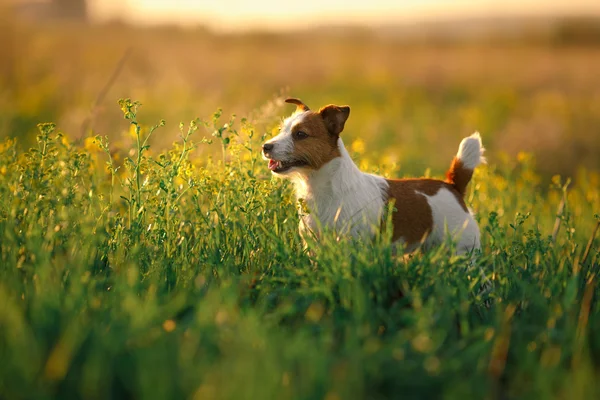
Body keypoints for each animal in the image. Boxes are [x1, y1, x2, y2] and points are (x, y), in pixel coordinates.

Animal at [260, 97, 486, 253]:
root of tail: (452, 186)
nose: (265, 146)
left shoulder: (350, 246)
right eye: (281, 129)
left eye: (300, 134)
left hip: (464, 252)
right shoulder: (315, 247)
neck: (324, 187)